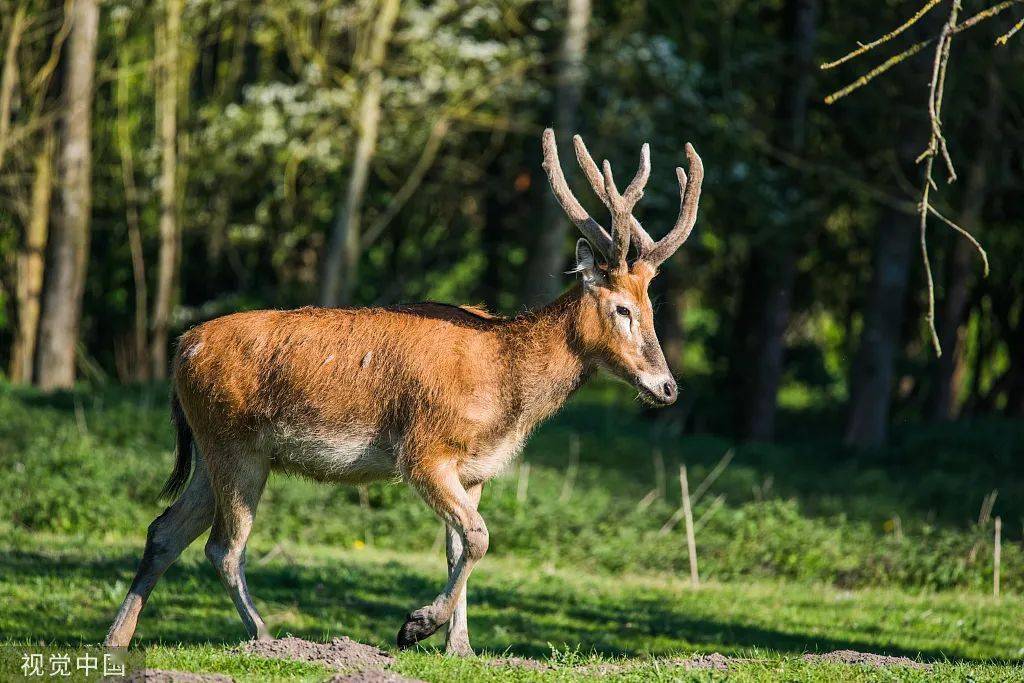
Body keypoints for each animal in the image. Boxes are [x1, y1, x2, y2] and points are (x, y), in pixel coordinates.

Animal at [103, 125, 700, 655]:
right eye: (622, 309)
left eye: (652, 308)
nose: (668, 387)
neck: (505, 391)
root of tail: (182, 347)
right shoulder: (423, 450)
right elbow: (479, 537)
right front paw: (416, 627)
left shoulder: (474, 470)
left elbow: (458, 547)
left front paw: (459, 647)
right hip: (237, 446)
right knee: (224, 547)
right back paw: (269, 638)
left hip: (212, 451)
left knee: (165, 530)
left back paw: (116, 640)